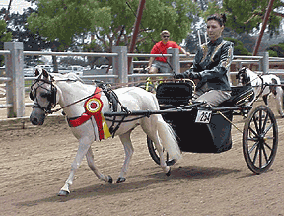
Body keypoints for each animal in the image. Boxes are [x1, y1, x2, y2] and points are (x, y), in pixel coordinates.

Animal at [30, 69, 181, 196]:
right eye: (32, 94)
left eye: (44, 94)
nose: (34, 119)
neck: (80, 104)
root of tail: (149, 93)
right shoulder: (84, 139)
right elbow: (91, 163)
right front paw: (106, 178)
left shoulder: (85, 140)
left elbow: (75, 164)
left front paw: (65, 188)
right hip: (124, 130)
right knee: (129, 150)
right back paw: (122, 175)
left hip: (149, 125)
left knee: (159, 145)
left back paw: (166, 168)